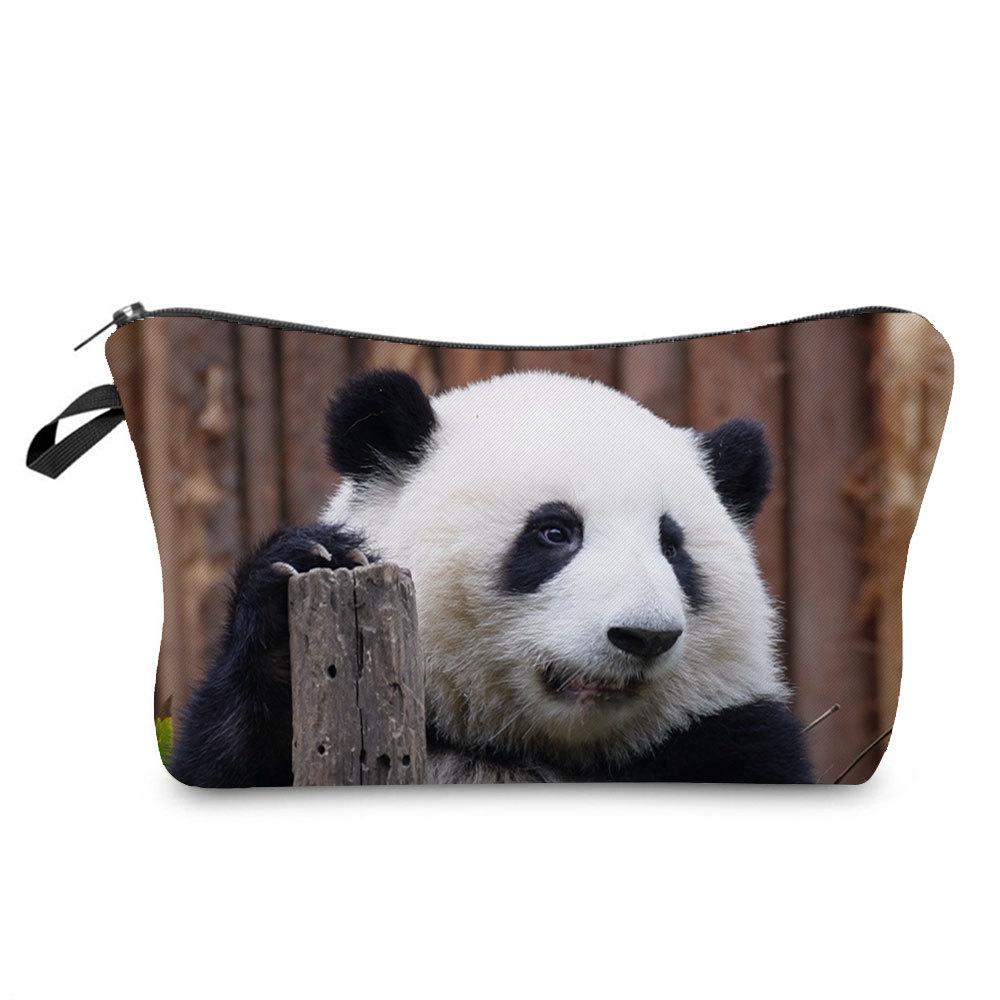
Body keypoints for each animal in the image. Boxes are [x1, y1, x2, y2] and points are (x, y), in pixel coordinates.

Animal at [170, 368, 812, 786]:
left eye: (672, 546)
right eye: (555, 532)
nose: (644, 636)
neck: (519, 749)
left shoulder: (729, 736)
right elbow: (222, 755)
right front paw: (309, 564)